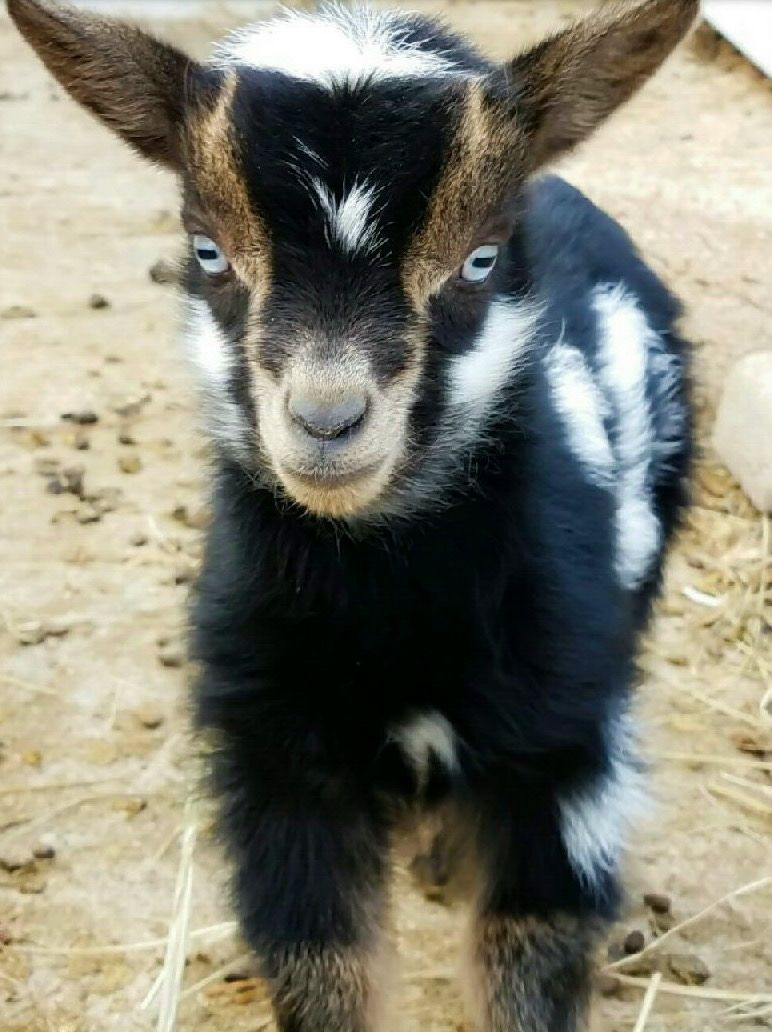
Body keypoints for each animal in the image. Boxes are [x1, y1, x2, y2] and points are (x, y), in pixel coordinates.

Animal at [8, 0, 698, 1028]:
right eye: (208, 252)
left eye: (480, 259)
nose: (327, 422)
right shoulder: (276, 754)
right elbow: (323, 962)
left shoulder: (563, 752)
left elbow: (528, 961)